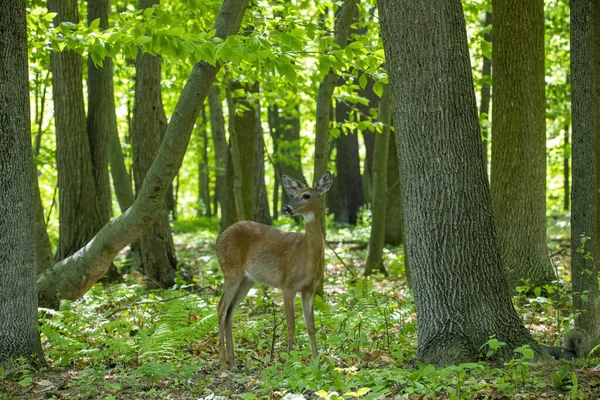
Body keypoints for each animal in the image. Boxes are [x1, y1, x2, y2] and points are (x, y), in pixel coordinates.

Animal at [214, 170, 332, 370]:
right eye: (293, 194)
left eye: (306, 195)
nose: (286, 208)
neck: (307, 256)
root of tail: (217, 239)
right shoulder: (288, 284)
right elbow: (292, 326)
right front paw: (289, 361)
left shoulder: (309, 288)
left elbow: (311, 326)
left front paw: (316, 360)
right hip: (231, 269)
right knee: (221, 308)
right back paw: (222, 362)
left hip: (247, 279)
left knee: (229, 311)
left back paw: (233, 362)